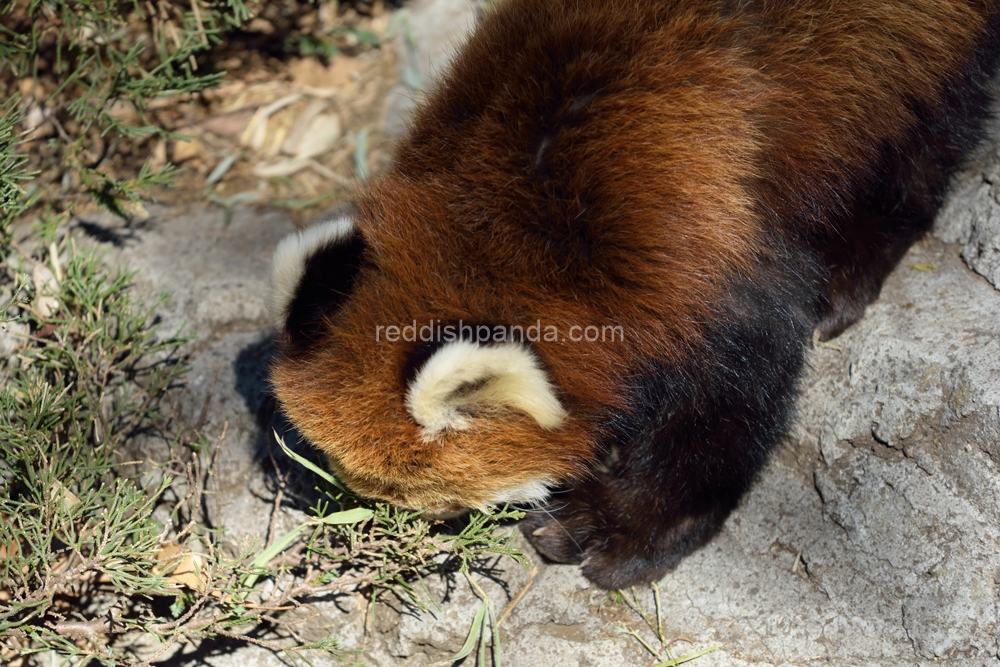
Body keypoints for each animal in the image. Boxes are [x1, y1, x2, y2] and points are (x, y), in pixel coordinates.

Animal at [270, 0, 1000, 588]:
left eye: (436, 499)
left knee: (931, 127)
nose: (394, 531)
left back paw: (857, 259)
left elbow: (731, 403)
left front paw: (621, 529)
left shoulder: (697, 242)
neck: (513, 227)